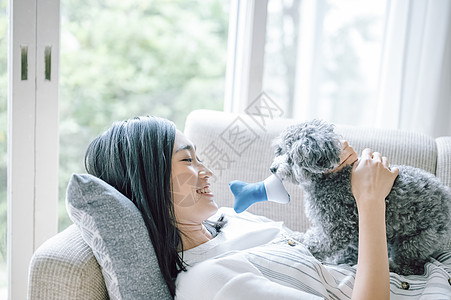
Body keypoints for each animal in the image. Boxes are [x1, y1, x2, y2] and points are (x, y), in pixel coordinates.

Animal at [270, 119, 450, 274]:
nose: (272, 168)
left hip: (418, 240)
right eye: (280, 150)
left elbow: (318, 242)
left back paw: (394, 267)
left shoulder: (337, 227)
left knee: (412, 265)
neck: (330, 178)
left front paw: (296, 239)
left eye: (291, 157)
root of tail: (446, 195)